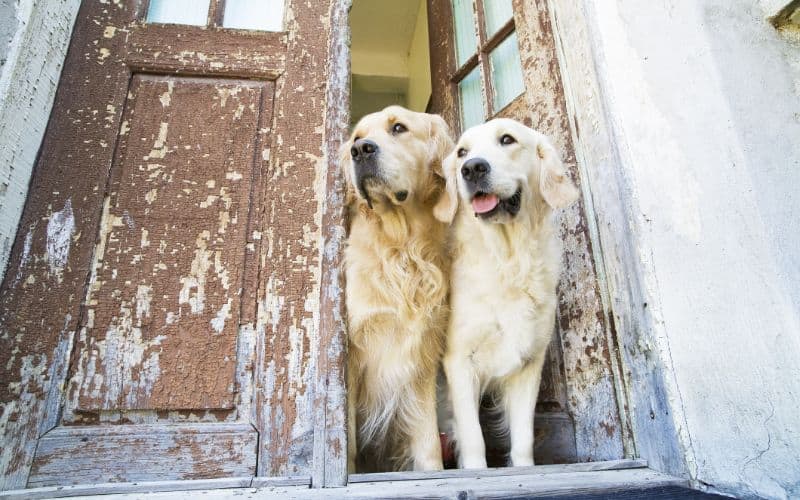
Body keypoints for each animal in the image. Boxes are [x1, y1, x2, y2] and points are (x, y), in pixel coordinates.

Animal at [342, 105, 456, 472]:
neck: (402, 247)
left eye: (398, 128)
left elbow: (428, 443)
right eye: (356, 136)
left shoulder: (422, 357)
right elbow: (347, 445)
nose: (360, 150)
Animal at [434, 118, 580, 468]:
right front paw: (475, 469)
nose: (472, 169)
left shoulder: (529, 364)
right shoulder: (459, 360)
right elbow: (473, 437)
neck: (508, 260)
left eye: (507, 139)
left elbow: (524, 438)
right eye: (462, 152)